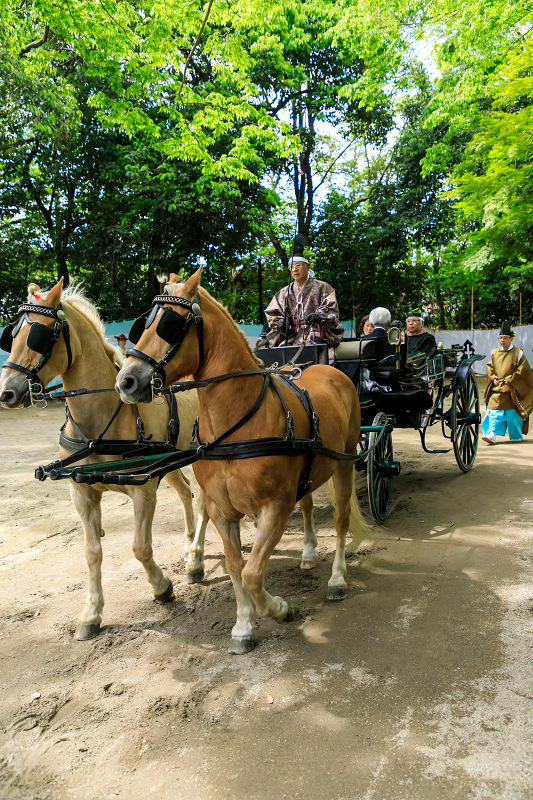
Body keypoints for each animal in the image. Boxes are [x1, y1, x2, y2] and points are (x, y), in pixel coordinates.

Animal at [0, 278, 208, 640]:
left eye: (39, 334)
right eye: (11, 335)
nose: (7, 392)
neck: (99, 425)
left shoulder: (142, 490)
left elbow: (140, 547)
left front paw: (162, 587)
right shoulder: (82, 493)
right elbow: (91, 552)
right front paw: (91, 613)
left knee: (205, 501)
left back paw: (196, 558)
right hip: (169, 462)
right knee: (185, 492)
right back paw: (187, 546)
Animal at [116, 272, 368, 652]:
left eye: (169, 325)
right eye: (142, 324)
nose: (126, 381)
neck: (235, 423)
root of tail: (329, 370)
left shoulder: (275, 507)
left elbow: (251, 572)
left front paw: (278, 608)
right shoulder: (221, 509)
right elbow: (236, 566)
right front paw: (244, 626)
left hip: (344, 461)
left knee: (341, 519)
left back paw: (337, 578)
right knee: (308, 504)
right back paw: (309, 553)